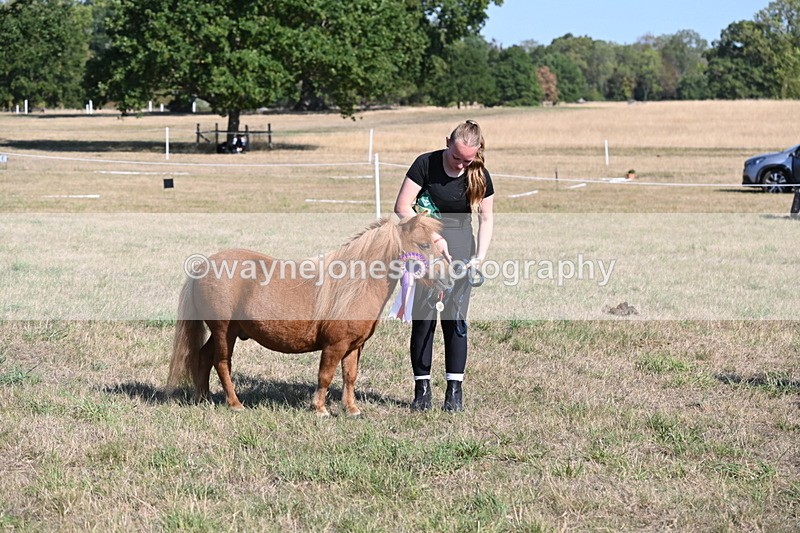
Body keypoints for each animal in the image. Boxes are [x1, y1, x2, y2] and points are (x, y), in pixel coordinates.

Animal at [166, 215, 443, 416]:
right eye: (424, 244)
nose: (446, 279)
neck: (355, 284)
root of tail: (204, 265)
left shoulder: (354, 346)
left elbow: (350, 376)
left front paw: (351, 409)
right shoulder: (334, 345)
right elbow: (325, 375)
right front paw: (319, 409)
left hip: (225, 332)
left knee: (204, 356)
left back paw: (203, 398)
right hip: (224, 330)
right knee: (222, 362)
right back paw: (234, 403)